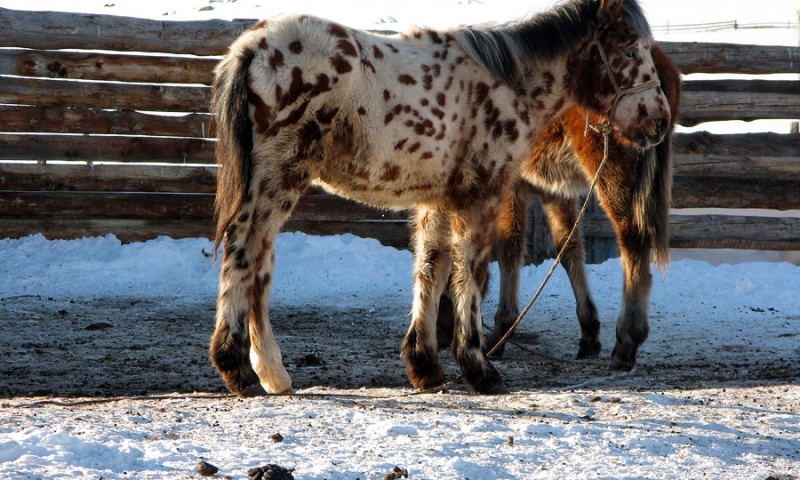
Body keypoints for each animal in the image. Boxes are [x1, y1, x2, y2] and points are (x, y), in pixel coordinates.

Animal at [440, 42, 680, 372]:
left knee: (633, 240)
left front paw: (501, 331)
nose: (442, 332)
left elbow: (510, 248)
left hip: (611, 173)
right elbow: (568, 249)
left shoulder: (511, 187)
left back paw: (627, 340)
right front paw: (589, 333)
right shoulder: (555, 190)